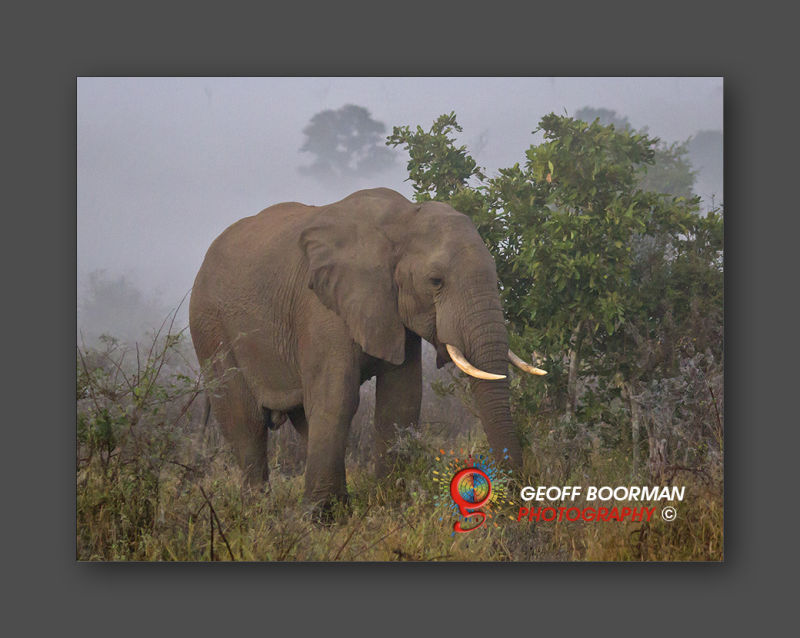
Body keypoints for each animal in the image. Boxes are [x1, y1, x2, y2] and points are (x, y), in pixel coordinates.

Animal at [189, 187, 544, 512]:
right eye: (435, 281)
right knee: (244, 419)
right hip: (210, 326)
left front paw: (391, 503)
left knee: (302, 419)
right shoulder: (322, 307)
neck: (402, 219)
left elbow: (401, 399)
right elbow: (337, 398)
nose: (516, 494)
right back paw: (258, 511)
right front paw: (319, 518)